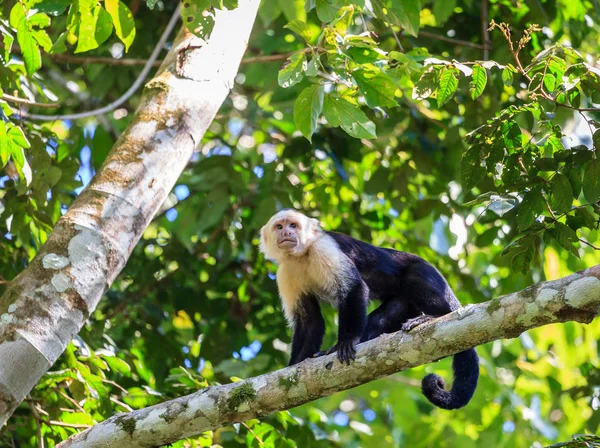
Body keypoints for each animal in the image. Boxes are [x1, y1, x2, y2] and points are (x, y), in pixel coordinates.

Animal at [260, 209, 480, 410]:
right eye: (279, 227)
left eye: (293, 225)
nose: (287, 233)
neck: (301, 255)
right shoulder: (285, 272)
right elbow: (309, 320)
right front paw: (295, 365)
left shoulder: (323, 248)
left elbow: (354, 288)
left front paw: (346, 341)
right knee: (381, 319)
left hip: (429, 273)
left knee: (414, 277)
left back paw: (437, 315)